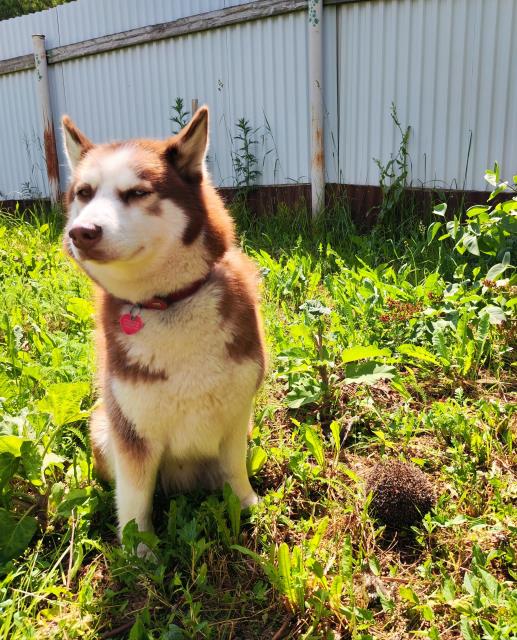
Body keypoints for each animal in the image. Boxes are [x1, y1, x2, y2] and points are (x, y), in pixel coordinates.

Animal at [61, 107, 265, 555]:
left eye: (137, 193)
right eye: (84, 193)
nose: (81, 233)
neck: (168, 302)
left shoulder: (237, 414)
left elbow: (235, 469)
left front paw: (247, 506)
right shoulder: (132, 431)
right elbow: (135, 499)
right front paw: (139, 553)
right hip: (103, 424)